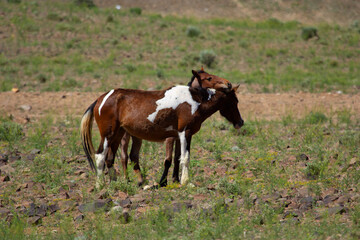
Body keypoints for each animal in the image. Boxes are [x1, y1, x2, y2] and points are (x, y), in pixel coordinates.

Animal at [81, 68, 245, 188]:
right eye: (234, 101)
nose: (240, 122)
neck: (195, 100)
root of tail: (101, 99)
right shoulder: (184, 132)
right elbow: (184, 157)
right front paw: (186, 182)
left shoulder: (182, 135)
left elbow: (178, 158)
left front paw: (176, 180)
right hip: (108, 135)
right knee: (100, 156)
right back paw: (100, 185)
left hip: (118, 134)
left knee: (111, 158)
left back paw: (117, 183)